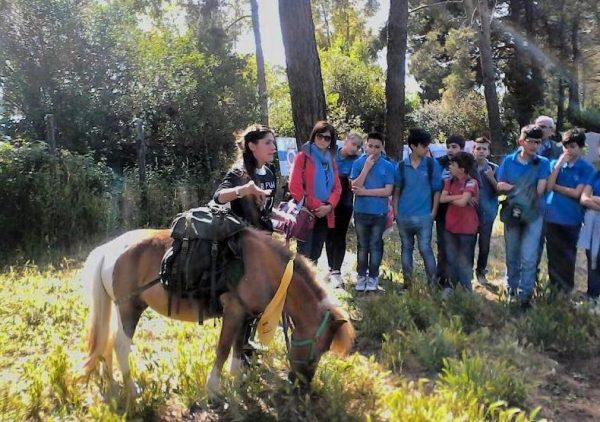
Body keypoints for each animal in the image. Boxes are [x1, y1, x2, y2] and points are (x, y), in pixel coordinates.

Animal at [77, 227, 354, 396]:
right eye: (320, 348)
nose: (302, 385)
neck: (265, 269)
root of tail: (110, 250)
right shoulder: (233, 312)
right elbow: (223, 348)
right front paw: (213, 388)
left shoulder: (245, 315)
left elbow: (239, 346)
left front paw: (237, 378)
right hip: (130, 308)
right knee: (120, 345)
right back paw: (131, 387)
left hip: (118, 309)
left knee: (106, 343)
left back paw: (112, 383)